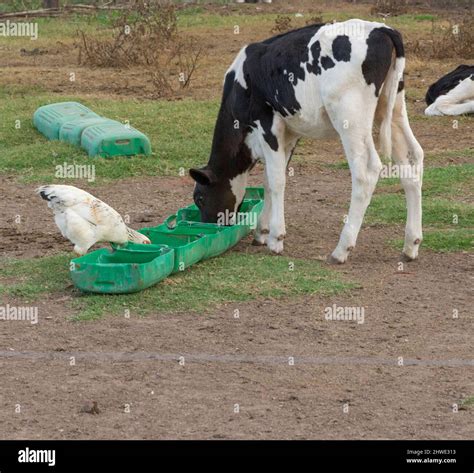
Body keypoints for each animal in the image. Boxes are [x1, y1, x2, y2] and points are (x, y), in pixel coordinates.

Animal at [191, 19, 424, 262]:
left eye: (200, 198)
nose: (207, 228)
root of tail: (383, 29)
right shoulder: (289, 134)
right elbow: (270, 180)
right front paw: (262, 232)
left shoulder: (267, 125)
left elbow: (276, 181)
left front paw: (276, 238)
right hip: (393, 107)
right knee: (413, 162)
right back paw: (411, 244)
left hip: (350, 117)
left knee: (366, 172)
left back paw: (342, 249)